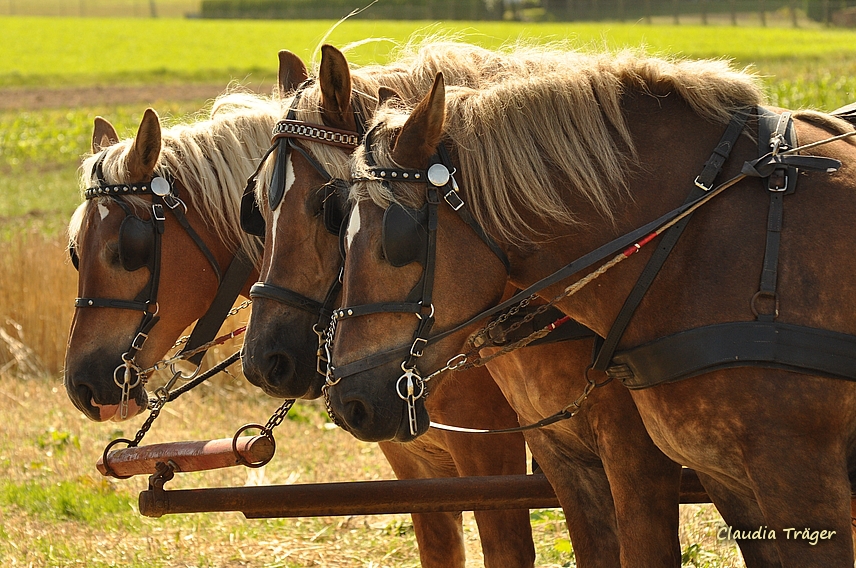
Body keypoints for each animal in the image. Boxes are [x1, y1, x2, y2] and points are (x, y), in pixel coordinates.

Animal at [330, 46, 856, 564]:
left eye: (397, 239)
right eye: (340, 224)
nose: (348, 403)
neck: (696, 239)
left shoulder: (791, 476)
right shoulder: (717, 480)